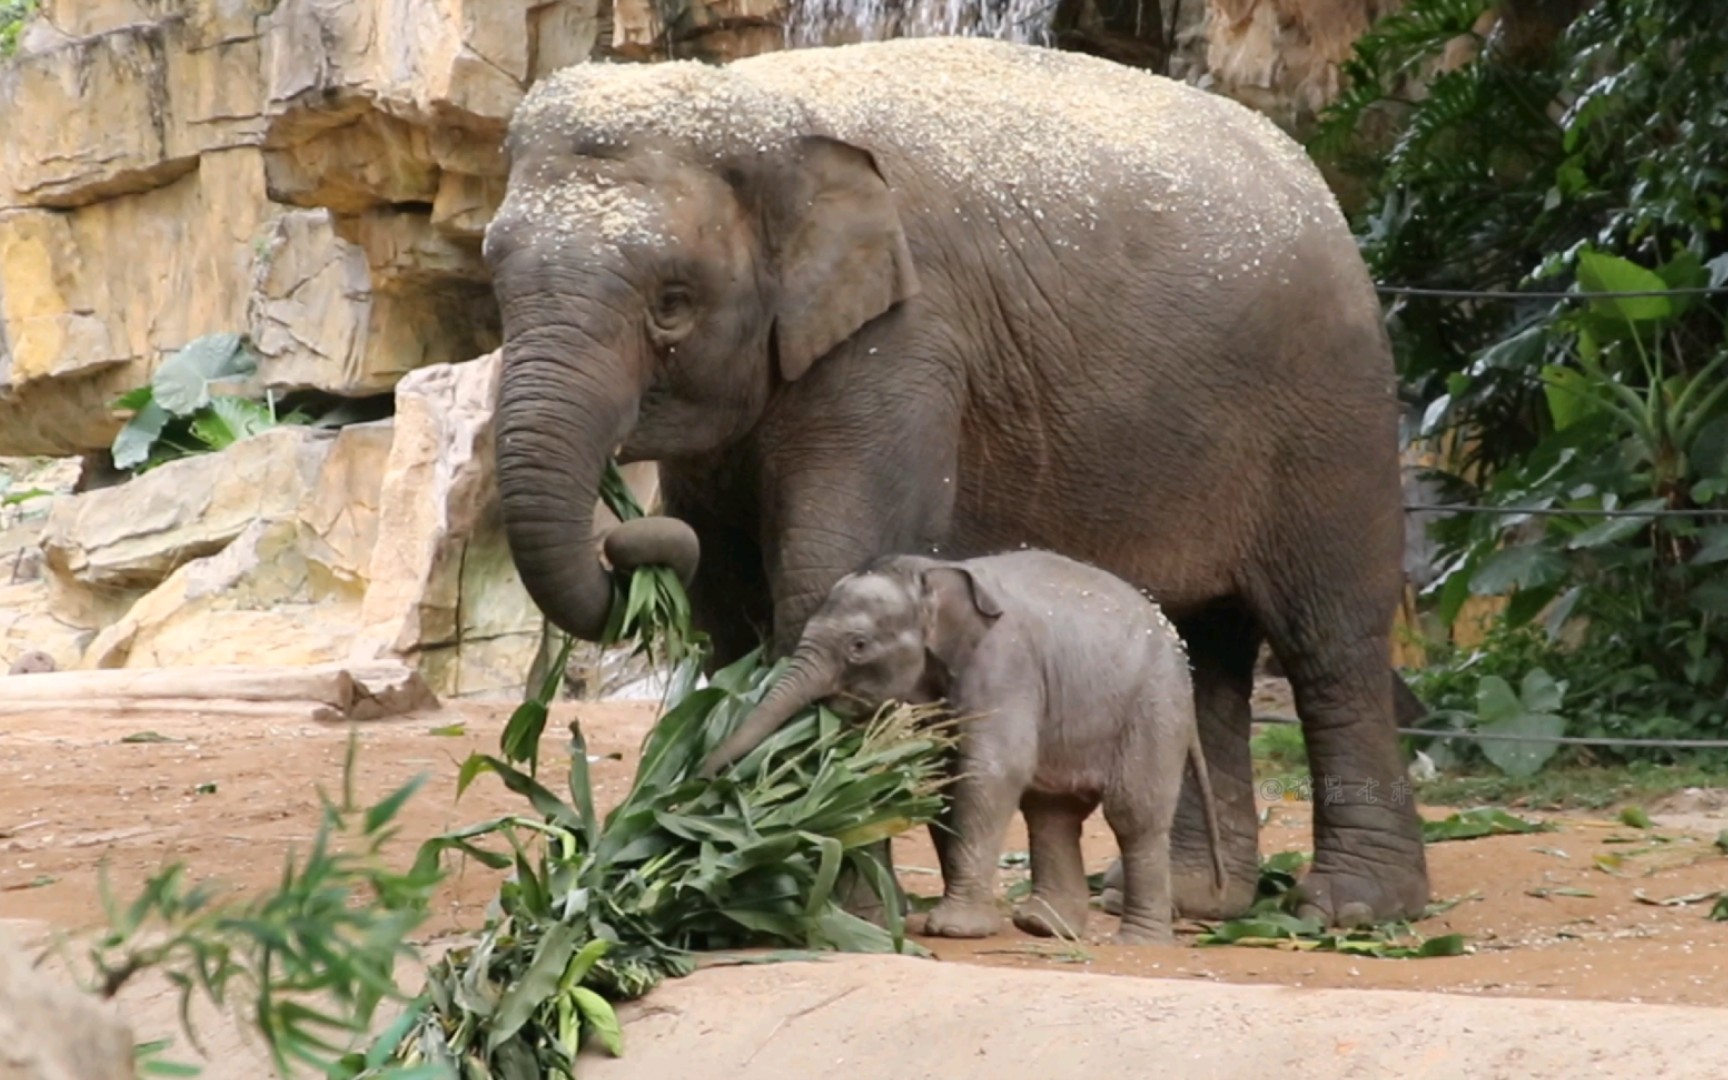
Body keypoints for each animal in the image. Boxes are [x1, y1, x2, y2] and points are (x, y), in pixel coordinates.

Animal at [694, 546, 1223, 940]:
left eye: (858, 645)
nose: (701, 779)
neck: (930, 572)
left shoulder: (1004, 662)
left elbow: (990, 771)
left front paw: (952, 930)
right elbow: (938, 775)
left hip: (1155, 706)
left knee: (1134, 813)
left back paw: (1138, 940)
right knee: (1052, 811)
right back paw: (1043, 927)